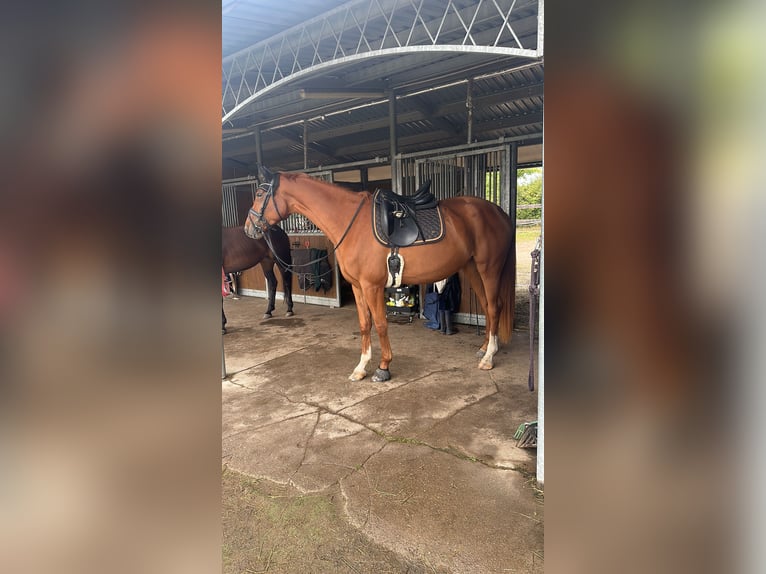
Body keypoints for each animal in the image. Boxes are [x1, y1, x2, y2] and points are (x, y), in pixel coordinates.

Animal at [244, 169, 515, 382]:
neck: (351, 223)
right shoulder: (357, 287)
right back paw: (484, 348)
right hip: (472, 268)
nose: (249, 228)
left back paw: (489, 357)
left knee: (494, 306)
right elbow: (365, 324)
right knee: (487, 305)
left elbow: (381, 324)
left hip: (489, 268)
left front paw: (383, 367)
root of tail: (497, 212)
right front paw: (361, 367)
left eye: (259, 195)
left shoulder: (372, 286)